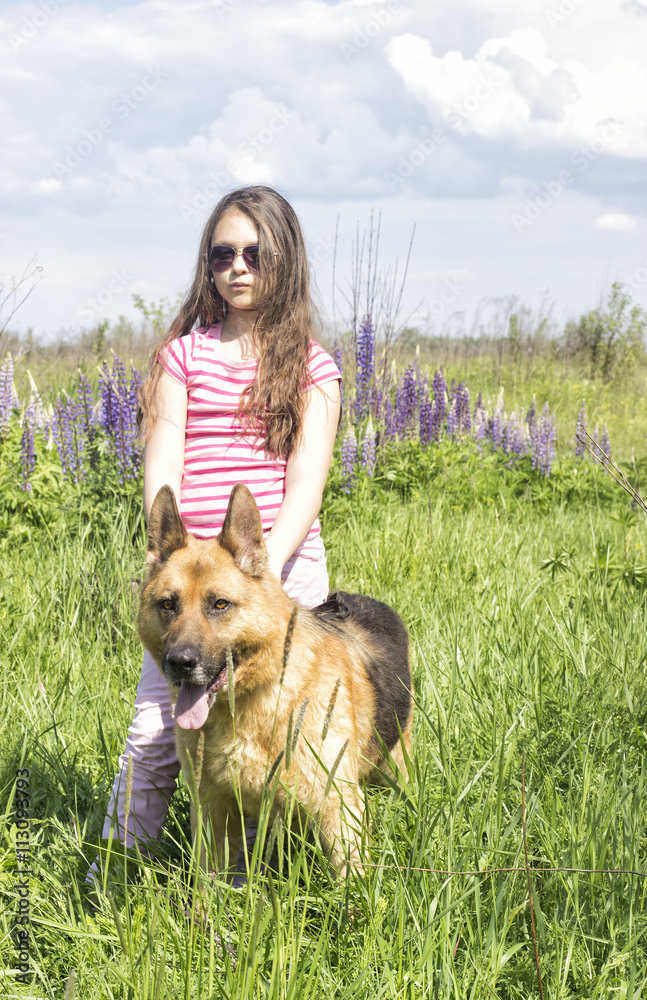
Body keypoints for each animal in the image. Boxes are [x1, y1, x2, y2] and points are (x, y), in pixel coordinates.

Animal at [137, 484, 416, 876]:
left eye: (220, 604)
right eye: (167, 605)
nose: (179, 662)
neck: (258, 698)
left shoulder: (339, 807)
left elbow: (353, 885)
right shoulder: (212, 811)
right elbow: (207, 885)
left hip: (397, 767)